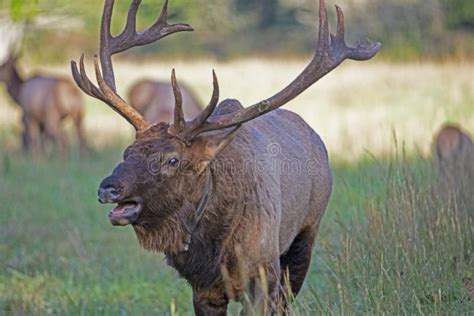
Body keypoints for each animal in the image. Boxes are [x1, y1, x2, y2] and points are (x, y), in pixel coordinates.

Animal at [71, 0, 382, 314]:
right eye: (128, 150)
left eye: (172, 159)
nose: (108, 187)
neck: (213, 247)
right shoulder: (203, 288)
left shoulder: (262, 277)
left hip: (305, 237)